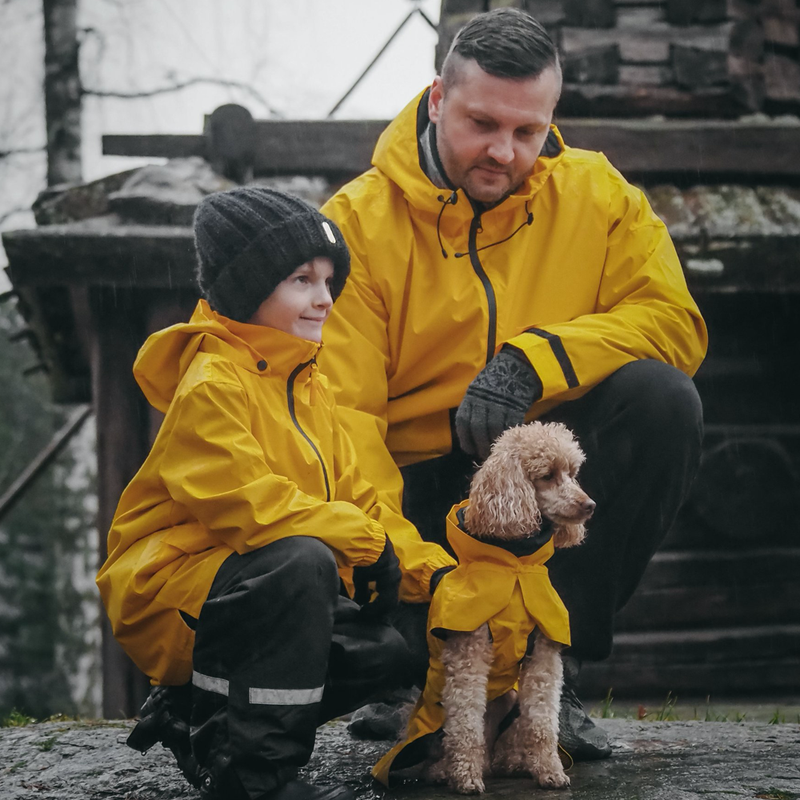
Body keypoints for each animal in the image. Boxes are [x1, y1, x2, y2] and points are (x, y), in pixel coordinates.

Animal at [432, 422, 592, 792]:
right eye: (547, 475)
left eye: (573, 473)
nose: (589, 505)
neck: (515, 565)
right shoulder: (468, 655)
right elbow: (465, 724)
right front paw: (465, 775)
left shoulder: (544, 655)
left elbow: (543, 722)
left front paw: (550, 770)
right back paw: (446, 769)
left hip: (512, 702)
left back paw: (512, 762)